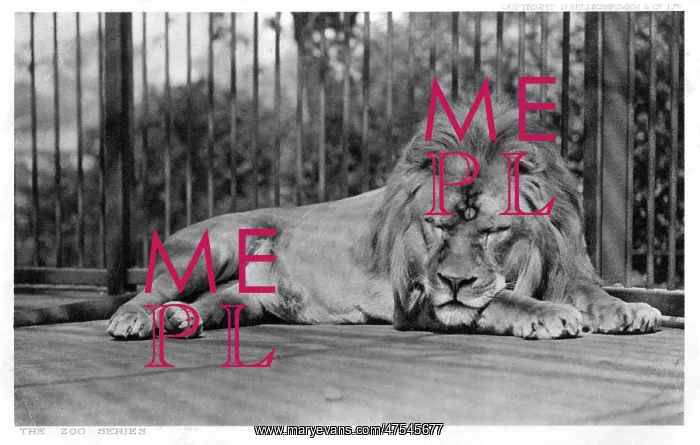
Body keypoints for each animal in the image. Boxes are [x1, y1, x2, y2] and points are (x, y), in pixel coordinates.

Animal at [15, 98, 662, 340]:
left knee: (212, 304)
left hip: (246, 300)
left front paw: (628, 309)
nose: (454, 280)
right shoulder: (416, 299)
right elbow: (498, 300)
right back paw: (139, 318)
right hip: (211, 242)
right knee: (146, 291)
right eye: (437, 226)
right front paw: (543, 313)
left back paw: (179, 320)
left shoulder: (568, 265)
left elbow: (592, 290)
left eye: (492, 231)